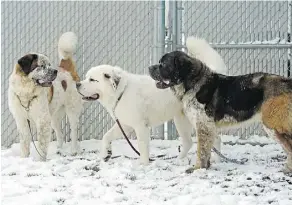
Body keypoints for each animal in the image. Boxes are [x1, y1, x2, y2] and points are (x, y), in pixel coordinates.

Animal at [8, 32, 83, 160]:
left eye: (49, 65)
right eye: (41, 66)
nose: (55, 71)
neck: (26, 92)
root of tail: (66, 69)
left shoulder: (42, 120)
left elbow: (41, 144)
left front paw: (40, 160)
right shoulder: (22, 120)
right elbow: (24, 143)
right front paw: (24, 158)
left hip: (71, 110)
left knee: (73, 131)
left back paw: (73, 150)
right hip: (54, 116)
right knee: (60, 133)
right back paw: (59, 149)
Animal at [76, 36, 227, 165]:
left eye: (92, 80)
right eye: (87, 77)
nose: (77, 84)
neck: (121, 92)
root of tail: (210, 75)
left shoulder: (140, 127)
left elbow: (142, 148)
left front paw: (143, 165)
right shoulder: (125, 125)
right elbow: (106, 136)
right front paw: (106, 154)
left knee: (214, 139)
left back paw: (216, 160)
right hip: (182, 120)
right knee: (189, 142)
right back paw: (179, 160)